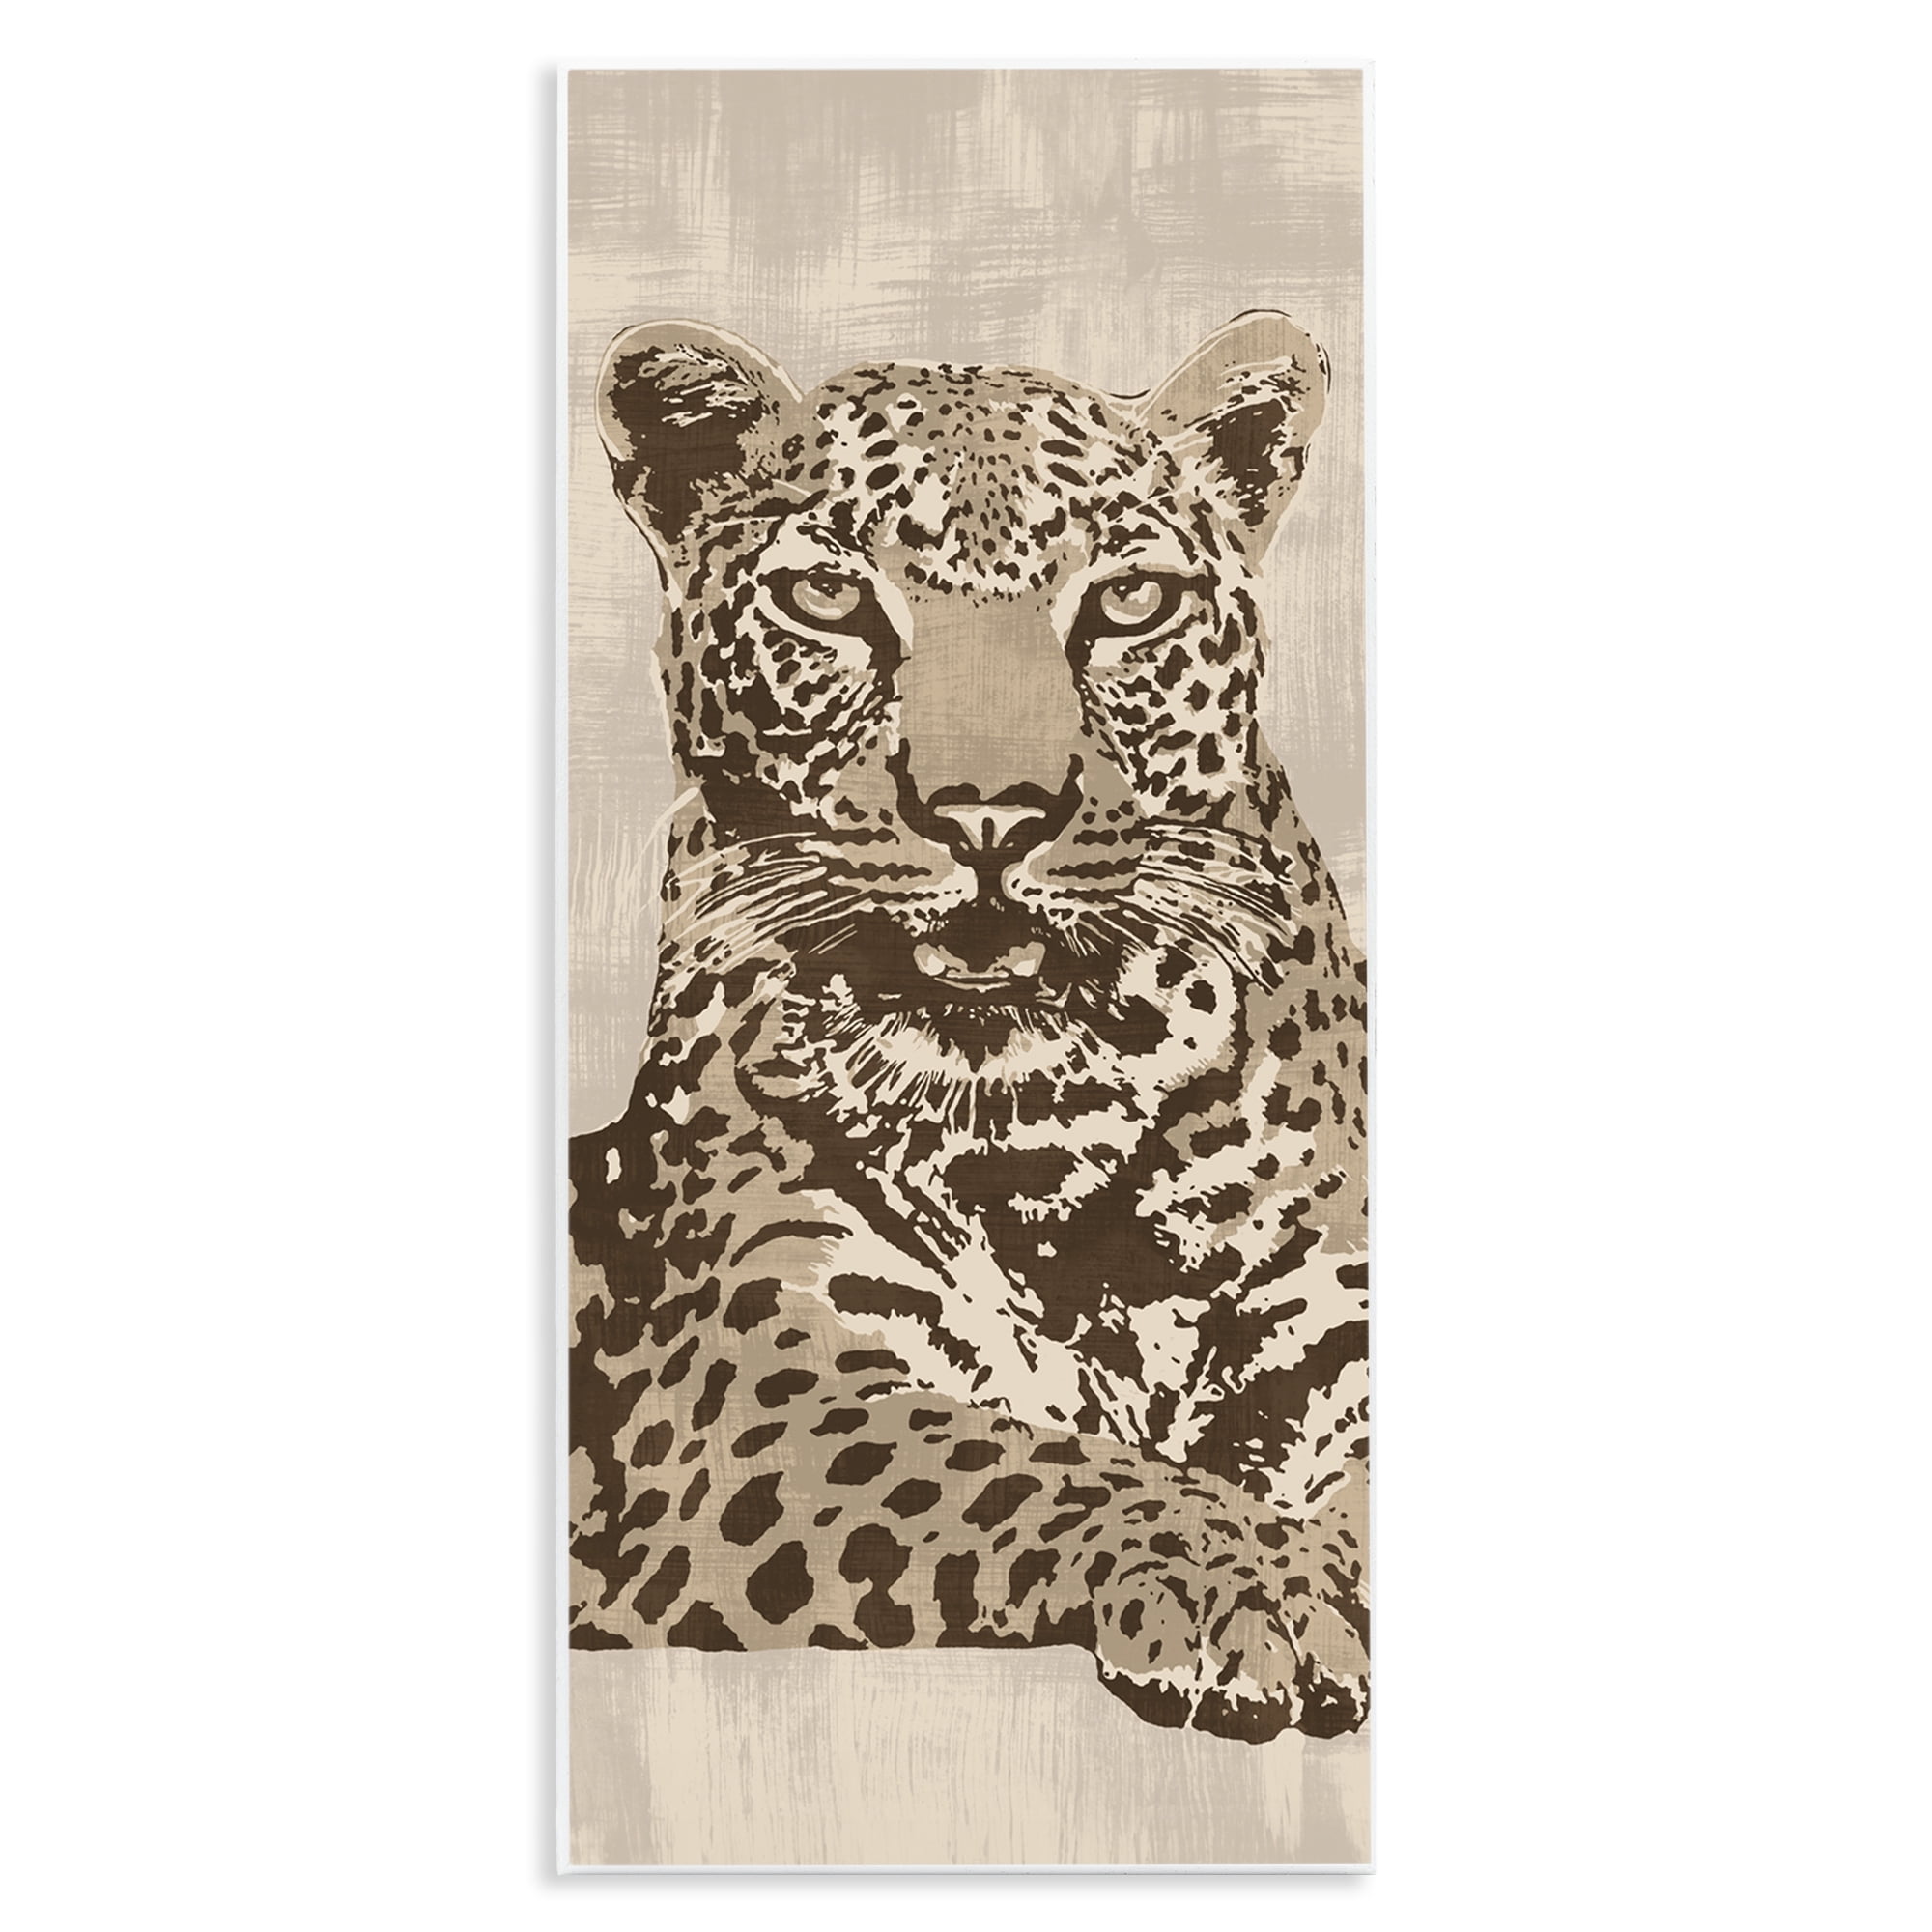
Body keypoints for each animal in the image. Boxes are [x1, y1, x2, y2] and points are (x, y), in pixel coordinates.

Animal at [567, 311, 1368, 1743]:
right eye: (830, 601)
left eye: (1127, 601)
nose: (989, 814)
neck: (1038, 1102)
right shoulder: (766, 1391)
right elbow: (1034, 1460)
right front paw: (1247, 1582)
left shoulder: (1338, 1315)